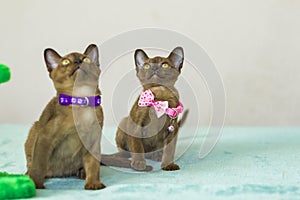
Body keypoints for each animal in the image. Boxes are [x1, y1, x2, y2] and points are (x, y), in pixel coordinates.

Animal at [25, 44, 106, 190]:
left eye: (85, 59)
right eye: (66, 62)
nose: (78, 62)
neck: (80, 101)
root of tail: (59, 174)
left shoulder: (93, 141)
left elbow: (93, 165)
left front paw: (93, 184)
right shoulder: (45, 137)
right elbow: (39, 165)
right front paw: (36, 185)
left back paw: (81, 173)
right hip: (34, 128)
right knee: (33, 166)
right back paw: (28, 176)